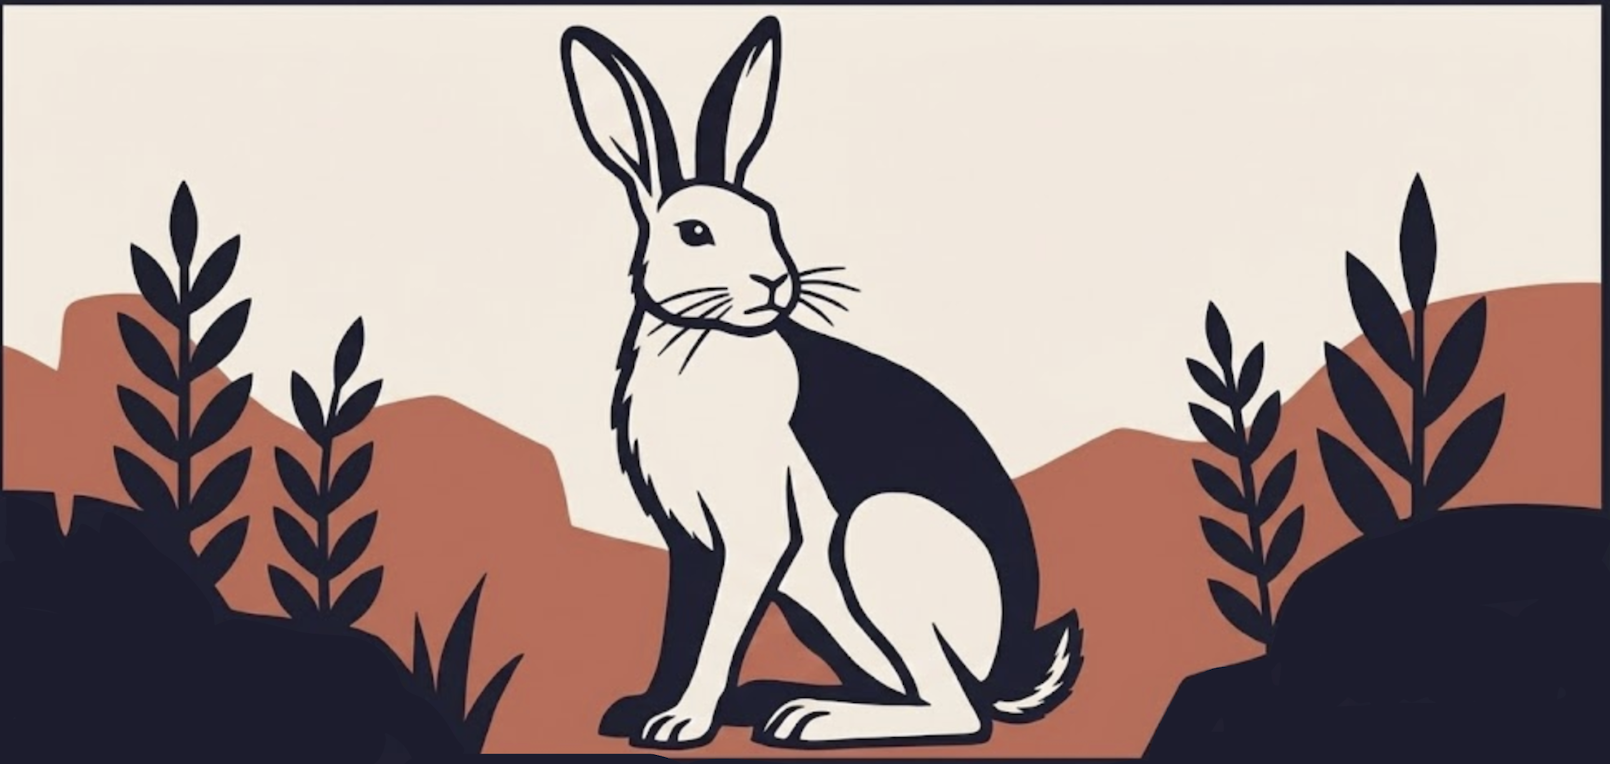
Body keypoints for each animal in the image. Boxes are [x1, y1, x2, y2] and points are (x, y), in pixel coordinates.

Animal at [560, 15, 1084, 750]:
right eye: (694, 232)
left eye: (768, 218)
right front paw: (646, 712)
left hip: (878, 538)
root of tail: (1004, 674)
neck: (712, 341)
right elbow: (683, 628)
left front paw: (682, 723)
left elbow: (719, 632)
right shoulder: (692, 546)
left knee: (957, 710)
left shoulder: (756, 535)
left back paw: (810, 719)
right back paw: (781, 700)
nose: (775, 282)